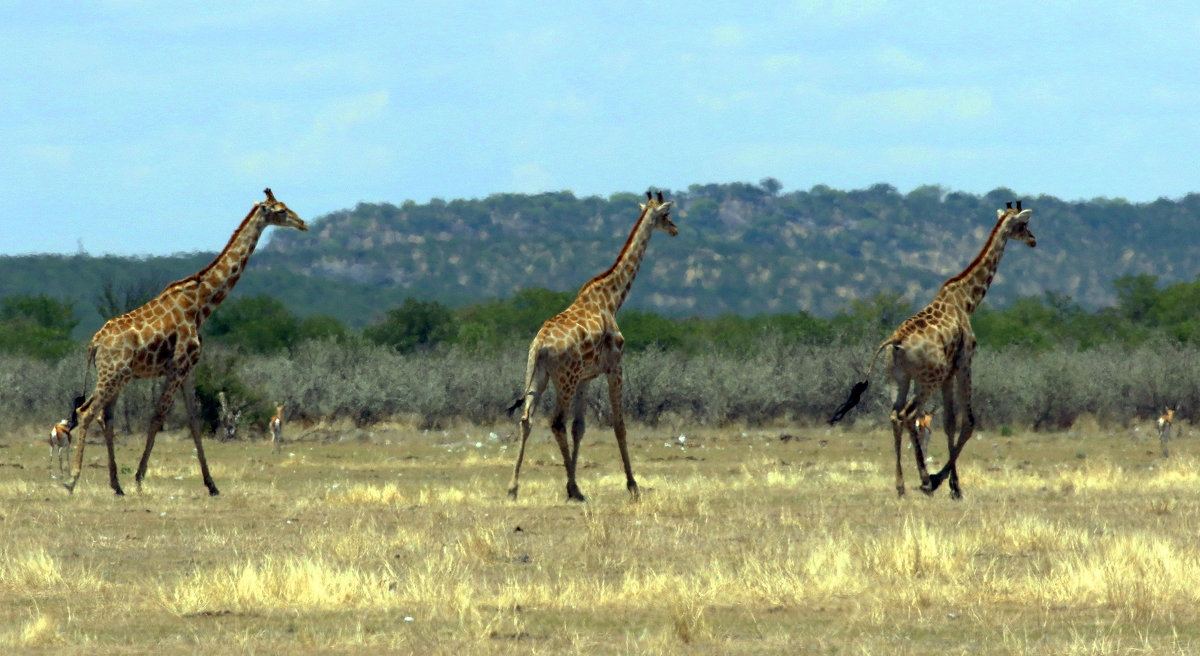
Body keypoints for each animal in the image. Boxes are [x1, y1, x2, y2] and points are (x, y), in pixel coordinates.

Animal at [63, 187, 309, 496]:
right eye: (280, 210)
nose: (303, 223)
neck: (201, 305)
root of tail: (94, 342)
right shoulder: (178, 365)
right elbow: (158, 417)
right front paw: (140, 478)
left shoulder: (190, 368)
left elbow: (194, 419)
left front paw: (212, 485)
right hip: (112, 374)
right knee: (85, 412)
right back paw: (72, 480)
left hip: (118, 376)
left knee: (105, 416)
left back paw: (116, 486)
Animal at [504, 190, 676, 503]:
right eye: (666, 215)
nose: (675, 229)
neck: (613, 298)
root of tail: (540, 345)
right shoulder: (615, 366)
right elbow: (619, 425)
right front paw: (632, 486)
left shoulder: (585, 378)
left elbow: (579, 428)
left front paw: (572, 479)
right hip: (564, 379)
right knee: (555, 422)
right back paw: (574, 490)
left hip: (538, 375)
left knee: (527, 419)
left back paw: (514, 488)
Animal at [830, 200, 1036, 498]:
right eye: (1024, 224)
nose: (1033, 240)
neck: (966, 300)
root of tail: (895, 342)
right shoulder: (964, 362)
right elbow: (968, 422)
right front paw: (946, 483)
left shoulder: (948, 374)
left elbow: (949, 422)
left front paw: (952, 485)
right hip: (928, 379)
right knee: (910, 415)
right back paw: (925, 479)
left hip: (899, 378)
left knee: (895, 415)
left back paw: (901, 485)